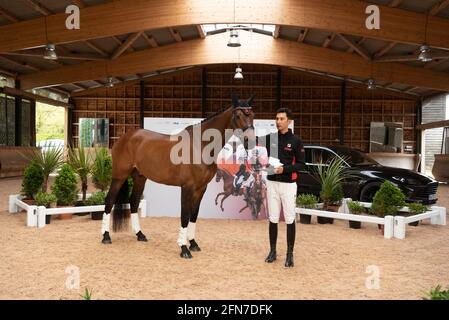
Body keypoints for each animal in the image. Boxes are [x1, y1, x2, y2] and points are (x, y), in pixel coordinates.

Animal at [101, 92, 256, 258]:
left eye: (252, 114)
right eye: (238, 115)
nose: (251, 141)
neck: (200, 146)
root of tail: (125, 137)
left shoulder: (201, 188)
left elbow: (194, 215)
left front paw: (193, 244)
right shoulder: (187, 187)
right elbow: (185, 215)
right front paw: (184, 249)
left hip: (140, 178)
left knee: (134, 202)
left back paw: (140, 235)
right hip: (119, 176)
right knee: (109, 200)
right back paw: (106, 236)